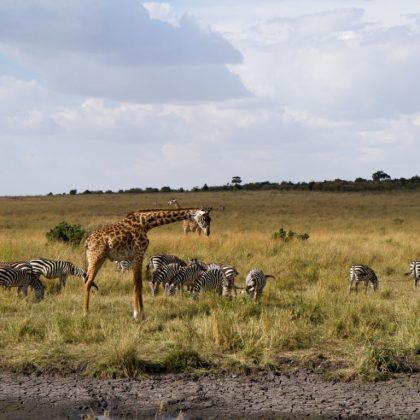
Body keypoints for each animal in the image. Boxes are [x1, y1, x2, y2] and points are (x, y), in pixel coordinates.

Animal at [83, 207, 212, 318]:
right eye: (205, 218)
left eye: (210, 219)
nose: (207, 233)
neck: (146, 223)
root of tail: (87, 242)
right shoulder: (138, 255)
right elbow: (136, 284)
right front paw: (136, 314)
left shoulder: (138, 256)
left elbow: (140, 284)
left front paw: (142, 313)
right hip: (96, 257)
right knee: (88, 282)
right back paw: (86, 313)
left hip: (98, 259)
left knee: (87, 280)